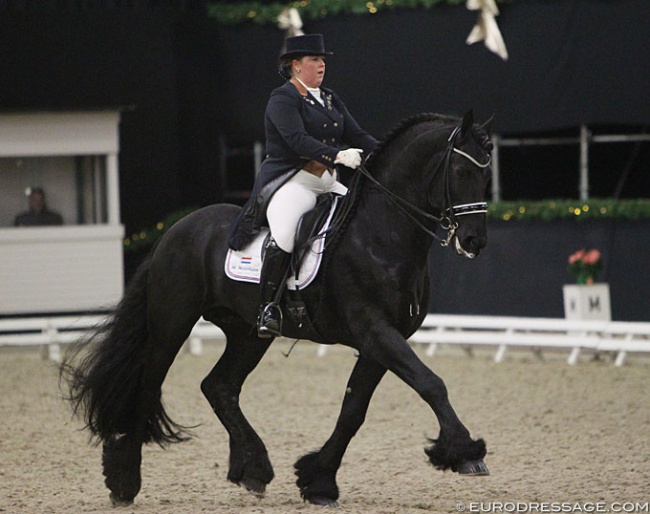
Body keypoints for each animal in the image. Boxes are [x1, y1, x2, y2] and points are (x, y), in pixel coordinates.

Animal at [64, 110, 492, 506]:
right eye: (460, 170)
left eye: (487, 173)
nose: (474, 242)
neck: (381, 234)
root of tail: (173, 231)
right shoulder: (375, 330)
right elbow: (431, 383)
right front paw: (466, 453)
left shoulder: (380, 341)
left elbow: (353, 410)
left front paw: (318, 481)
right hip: (172, 324)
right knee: (149, 386)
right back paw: (125, 481)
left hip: (249, 333)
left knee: (219, 386)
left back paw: (252, 469)